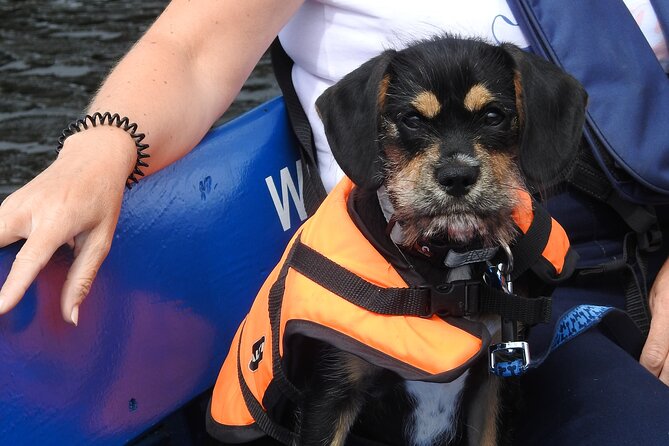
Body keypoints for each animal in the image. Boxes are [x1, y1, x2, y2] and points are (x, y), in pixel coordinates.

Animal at [288, 35, 584, 446]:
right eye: (412, 119)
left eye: (493, 115)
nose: (457, 176)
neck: (447, 264)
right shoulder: (332, 391)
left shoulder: (494, 381)